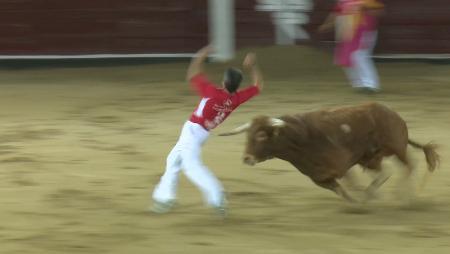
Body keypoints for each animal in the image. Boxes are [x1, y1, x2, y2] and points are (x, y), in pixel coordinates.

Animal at [220, 102, 438, 201]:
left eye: (261, 136)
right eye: (247, 135)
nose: (247, 158)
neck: (302, 139)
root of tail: (393, 114)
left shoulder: (341, 164)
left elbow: (352, 184)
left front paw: (363, 200)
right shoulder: (321, 176)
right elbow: (343, 190)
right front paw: (360, 201)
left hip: (396, 147)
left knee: (409, 166)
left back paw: (406, 197)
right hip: (372, 156)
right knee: (387, 171)